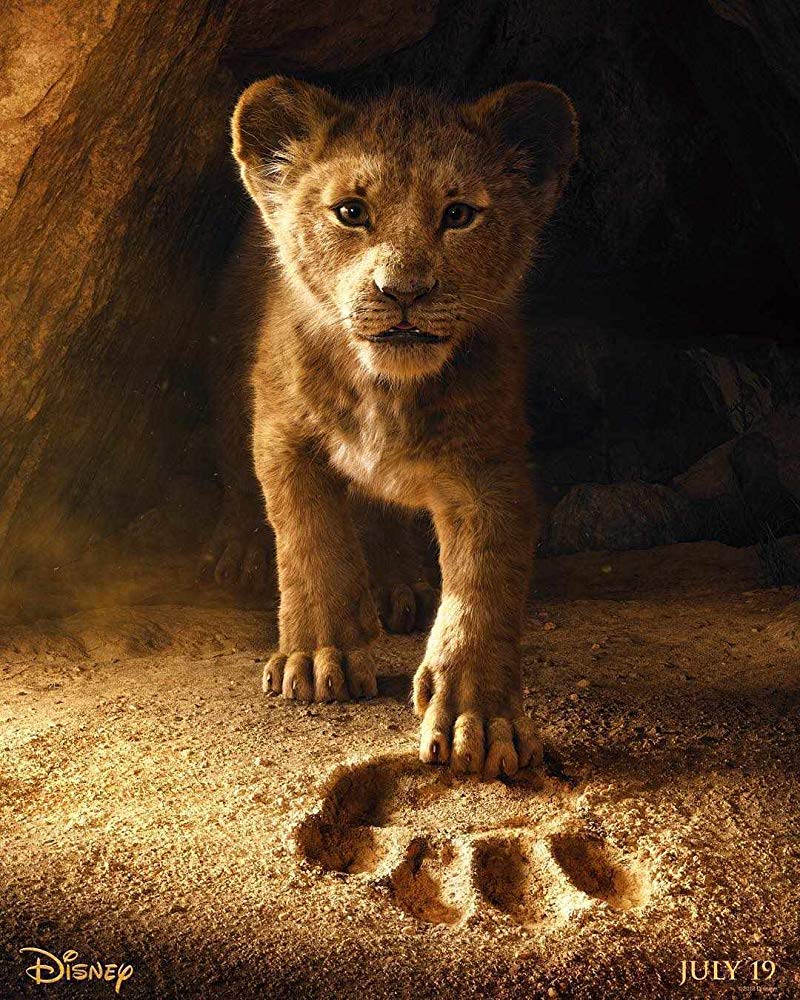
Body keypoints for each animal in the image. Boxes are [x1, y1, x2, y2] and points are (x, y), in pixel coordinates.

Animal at [210, 77, 577, 779]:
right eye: (351, 212)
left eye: (458, 215)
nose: (403, 291)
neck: (386, 388)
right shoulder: (283, 433)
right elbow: (310, 541)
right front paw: (318, 657)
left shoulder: (490, 466)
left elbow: (483, 585)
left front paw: (478, 717)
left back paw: (396, 585)